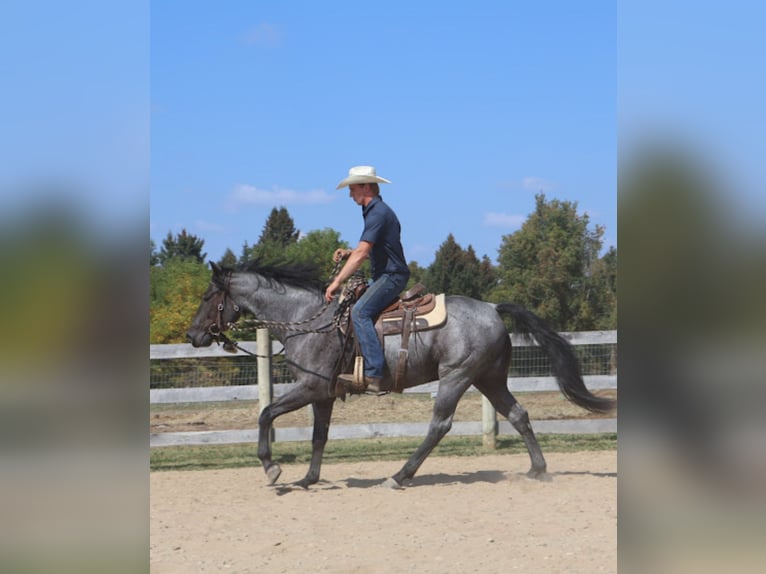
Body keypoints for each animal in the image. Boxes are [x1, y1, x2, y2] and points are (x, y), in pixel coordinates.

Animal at [186, 260, 616, 489]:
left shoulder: (309, 386)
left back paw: (400, 474)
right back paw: (537, 470)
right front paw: (309, 478)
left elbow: (265, 414)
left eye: (208, 297)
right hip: (489, 379)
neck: (307, 320)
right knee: (518, 414)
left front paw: (272, 467)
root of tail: (493, 308)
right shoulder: (324, 394)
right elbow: (318, 435)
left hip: (457, 377)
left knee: (439, 425)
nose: (192, 335)